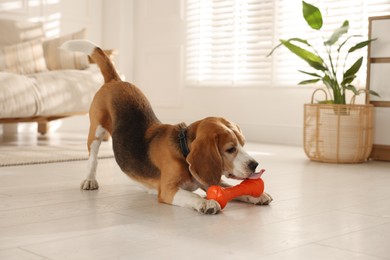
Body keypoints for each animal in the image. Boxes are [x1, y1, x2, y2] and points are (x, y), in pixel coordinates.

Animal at [62, 40, 272, 213]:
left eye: (243, 144)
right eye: (230, 149)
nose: (255, 164)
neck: (183, 149)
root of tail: (115, 81)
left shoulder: (209, 180)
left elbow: (232, 189)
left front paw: (256, 195)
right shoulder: (169, 190)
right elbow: (192, 195)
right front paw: (206, 202)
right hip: (96, 130)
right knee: (92, 158)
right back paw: (90, 180)